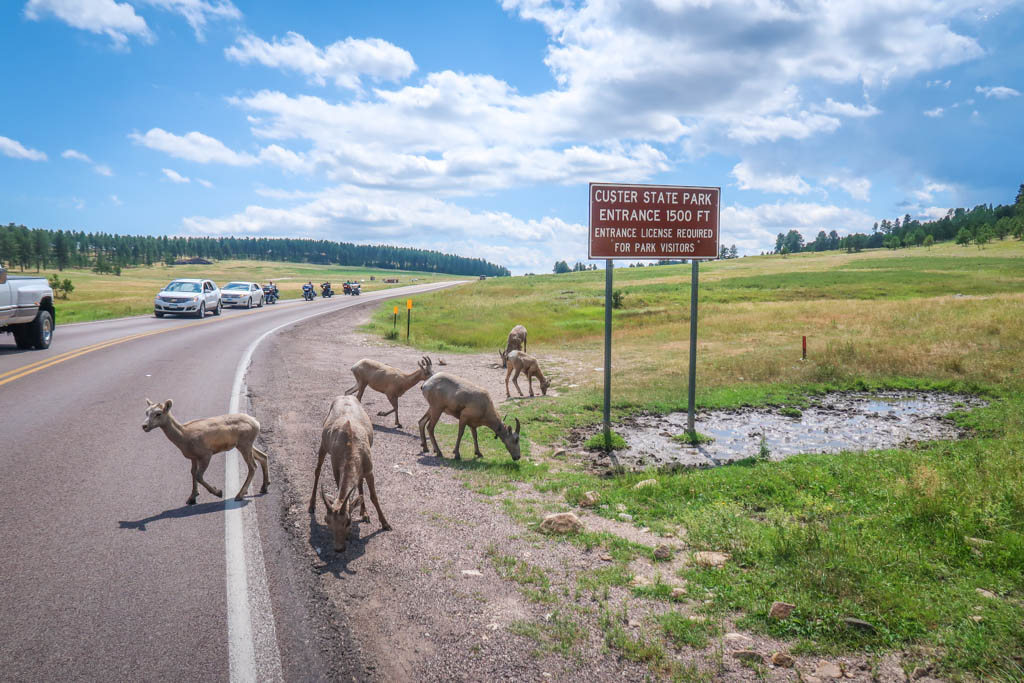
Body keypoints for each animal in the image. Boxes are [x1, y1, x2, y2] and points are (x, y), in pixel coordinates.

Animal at [305, 393, 389, 552]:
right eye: (327, 520)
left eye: (348, 521)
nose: (339, 548)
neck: (351, 446)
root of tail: (344, 395)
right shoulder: (336, 468)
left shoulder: (369, 469)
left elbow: (373, 496)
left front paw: (386, 524)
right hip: (323, 444)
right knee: (317, 470)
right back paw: (311, 506)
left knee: (359, 482)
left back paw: (364, 514)